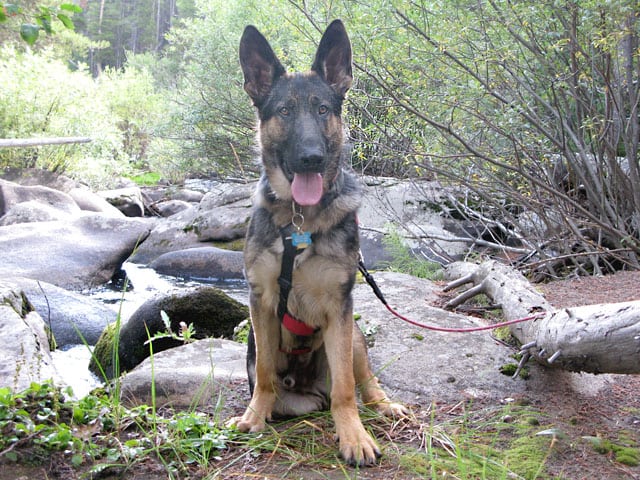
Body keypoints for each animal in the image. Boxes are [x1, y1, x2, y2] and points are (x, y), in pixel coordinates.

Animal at [234, 20, 404, 466]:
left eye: (323, 109)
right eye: (285, 111)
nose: (311, 157)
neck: (299, 221)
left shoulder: (338, 308)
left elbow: (345, 388)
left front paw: (353, 435)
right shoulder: (261, 302)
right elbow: (263, 376)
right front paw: (254, 416)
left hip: (353, 334)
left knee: (362, 381)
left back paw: (384, 405)